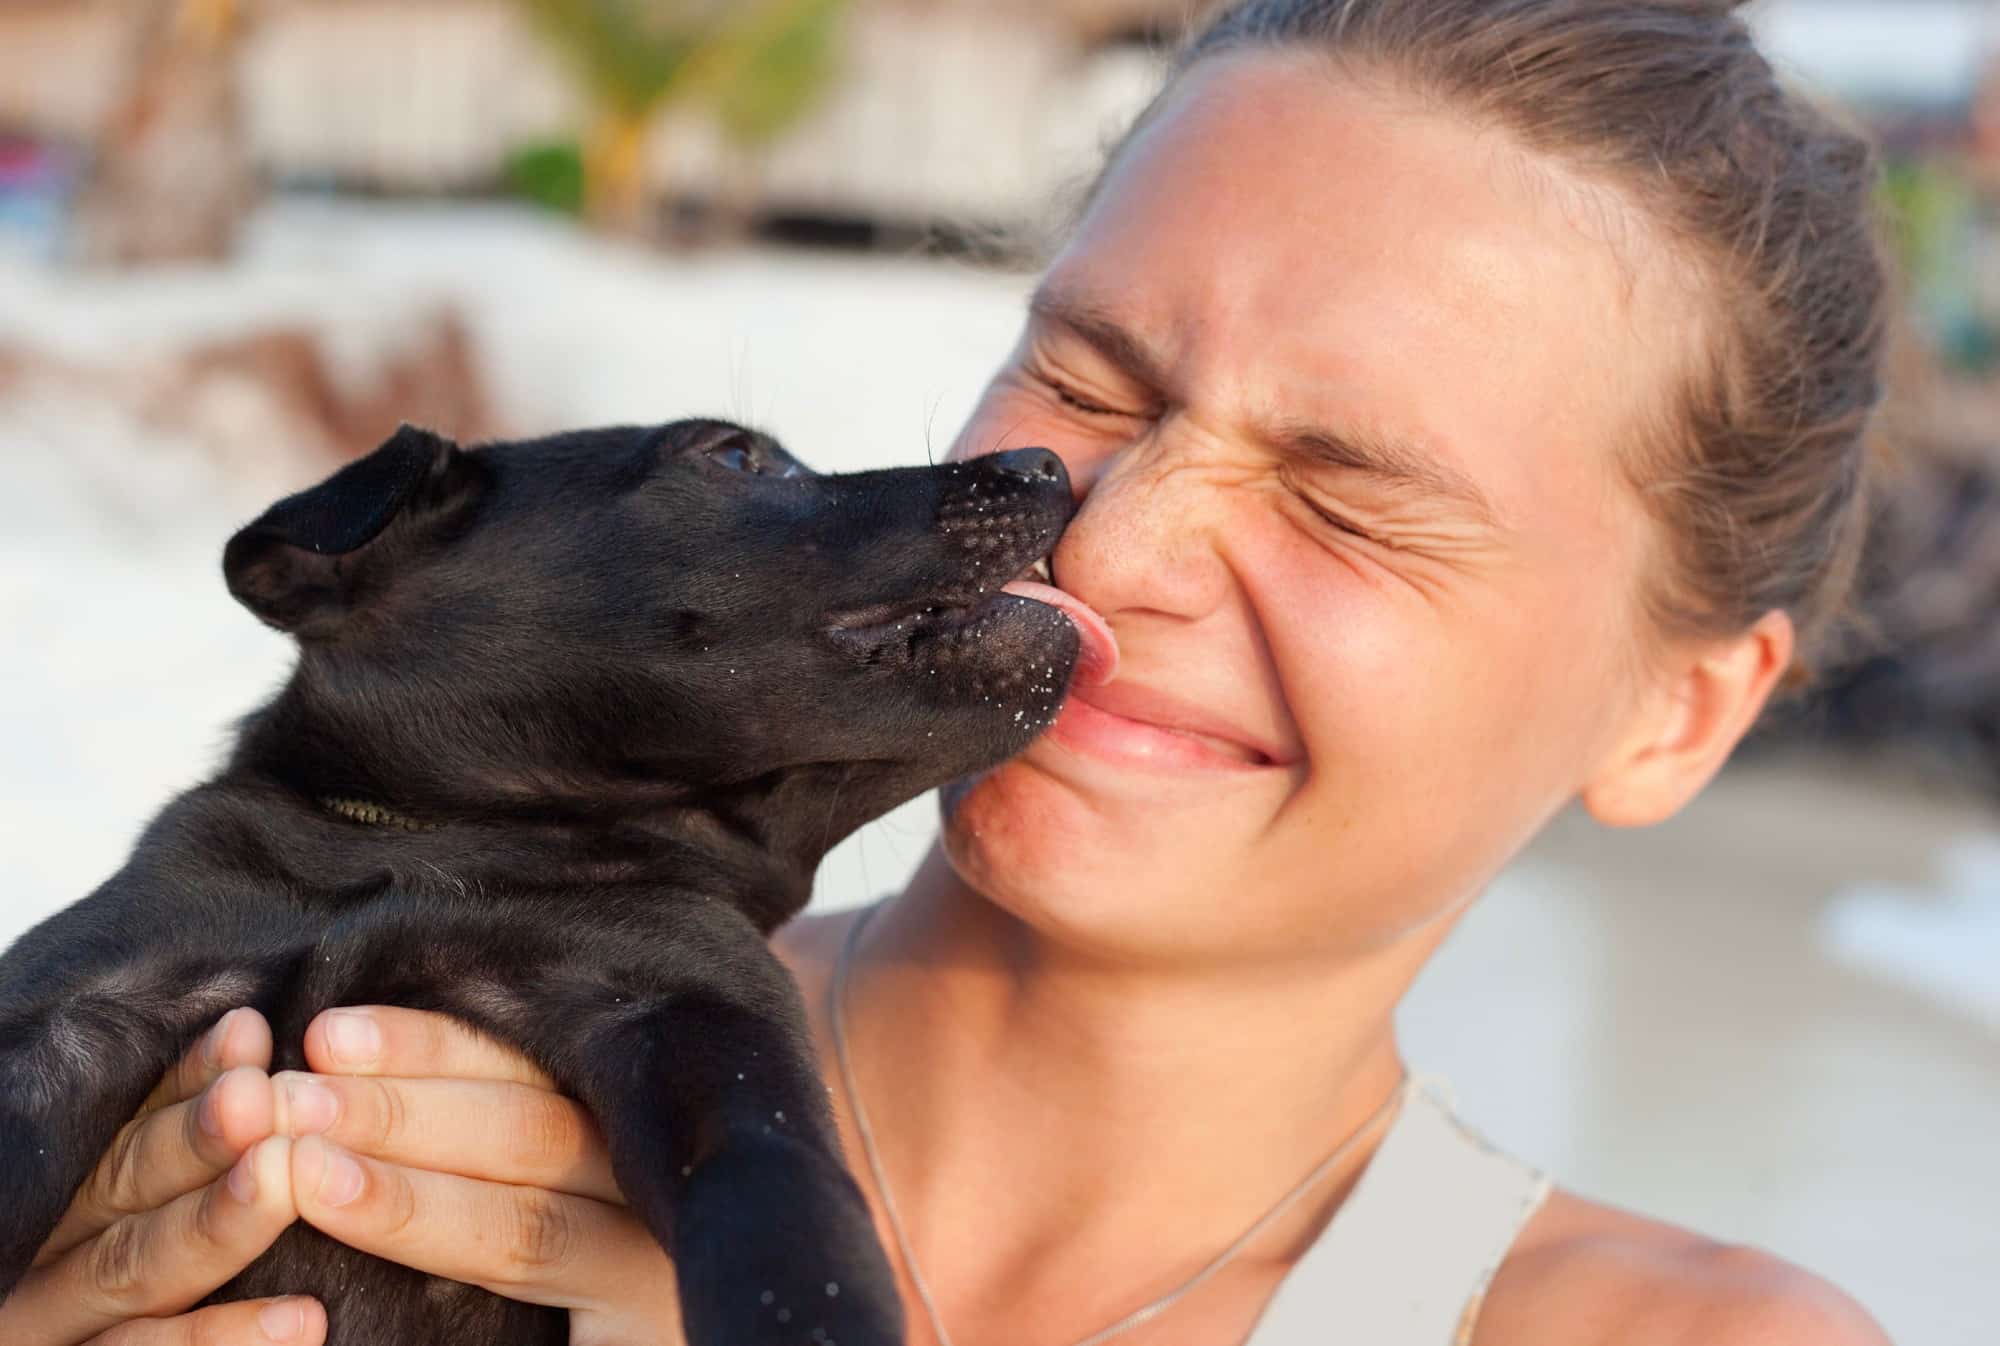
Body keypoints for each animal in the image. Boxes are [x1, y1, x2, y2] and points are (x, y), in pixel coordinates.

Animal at [0, 420, 1112, 1344]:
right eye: (735, 456)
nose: (1045, 463)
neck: (455, 842)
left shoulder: (700, 1019)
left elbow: (782, 1208)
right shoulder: (79, 1004)